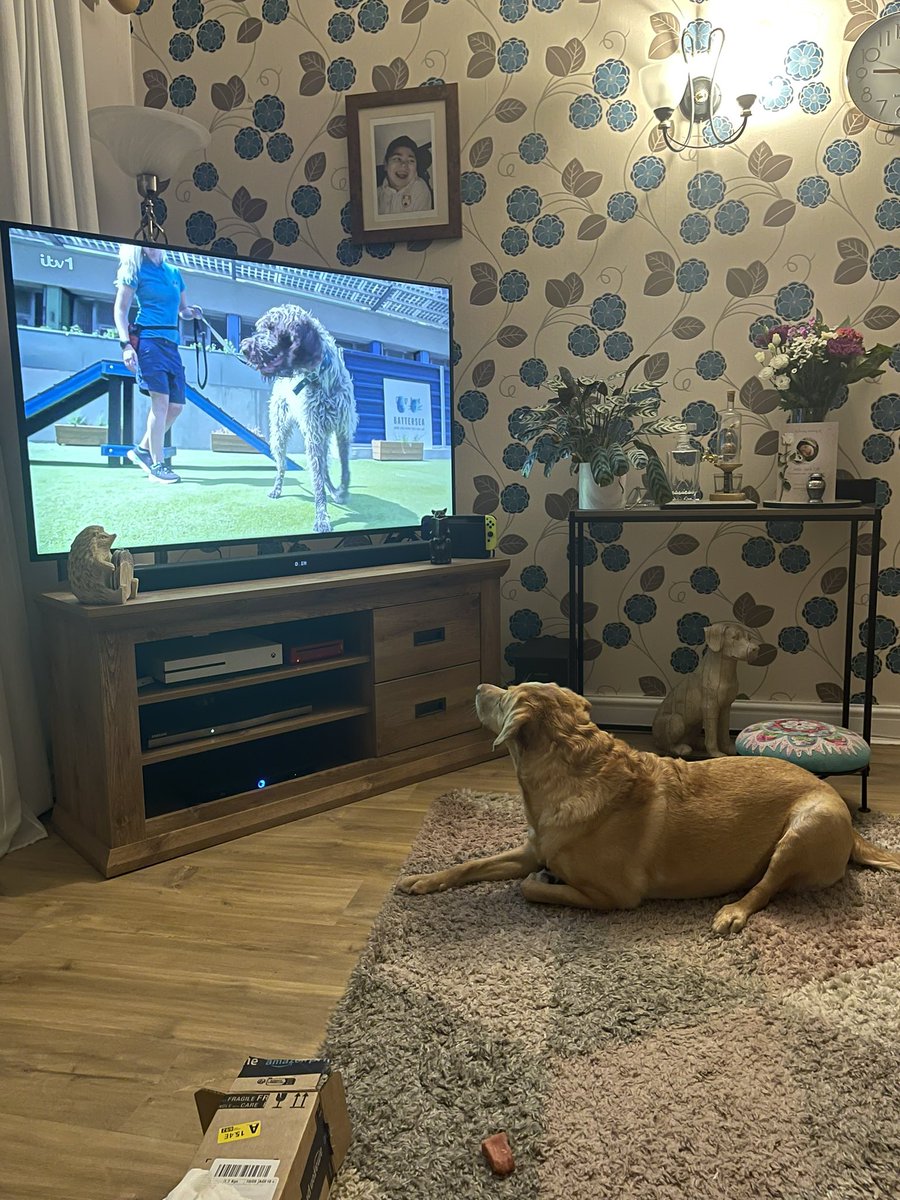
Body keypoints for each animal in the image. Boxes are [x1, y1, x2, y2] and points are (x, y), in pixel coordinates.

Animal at [243, 304, 362, 535]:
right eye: (261, 328)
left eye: (272, 328)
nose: (244, 347)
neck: (321, 378)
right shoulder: (314, 435)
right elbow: (317, 482)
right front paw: (322, 517)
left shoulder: (342, 432)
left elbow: (345, 471)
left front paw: (341, 492)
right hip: (280, 436)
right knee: (282, 467)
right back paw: (277, 489)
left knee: (324, 470)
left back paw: (333, 491)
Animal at [400, 686, 900, 926]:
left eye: (504, 695)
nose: (479, 685)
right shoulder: (532, 847)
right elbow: (472, 864)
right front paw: (423, 878)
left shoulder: (614, 897)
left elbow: (529, 887)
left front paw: (544, 881)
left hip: (805, 827)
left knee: (765, 888)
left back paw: (733, 911)